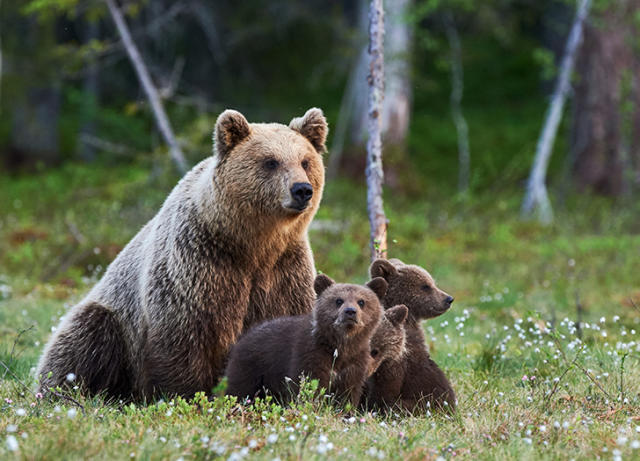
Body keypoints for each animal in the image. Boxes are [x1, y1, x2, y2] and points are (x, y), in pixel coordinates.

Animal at [37, 108, 328, 398]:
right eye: (270, 161)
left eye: (305, 161)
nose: (302, 190)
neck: (253, 245)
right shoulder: (198, 265)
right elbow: (184, 338)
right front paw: (185, 394)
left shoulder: (284, 271)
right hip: (113, 320)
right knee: (83, 339)